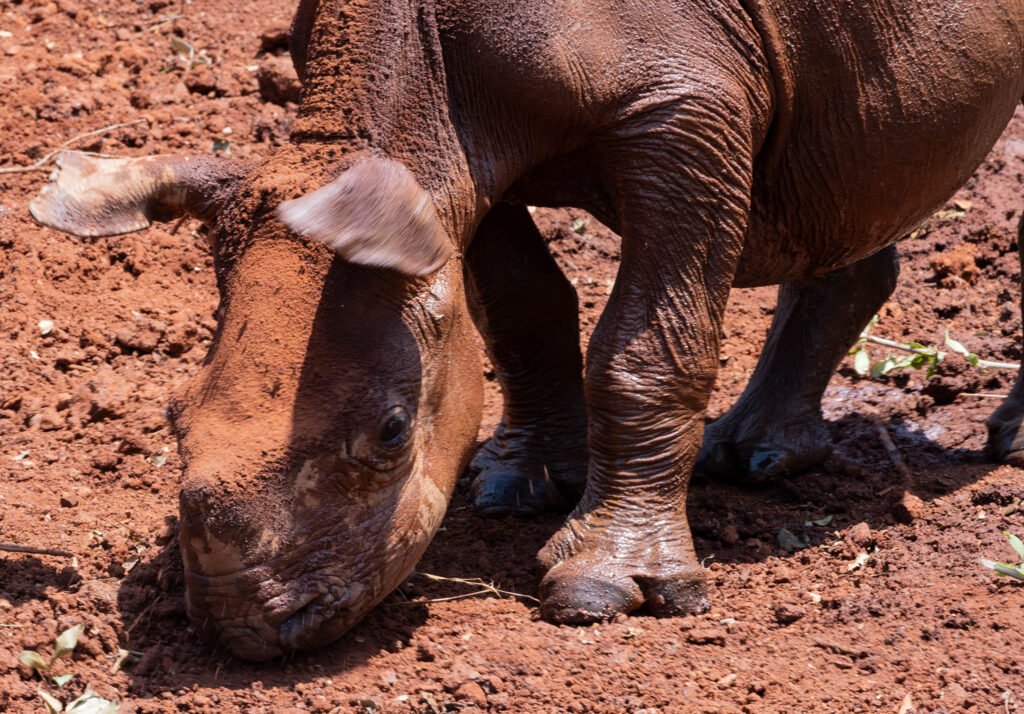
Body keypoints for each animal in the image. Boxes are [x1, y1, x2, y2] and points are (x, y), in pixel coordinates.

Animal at [28, 0, 1024, 659]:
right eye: (169, 419)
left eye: (391, 434)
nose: (248, 632)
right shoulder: (454, 170)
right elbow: (521, 309)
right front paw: (523, 484)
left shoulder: (680, 112)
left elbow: (641, 349)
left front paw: (604, 589)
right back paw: (757, 455)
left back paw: (1004, 444)